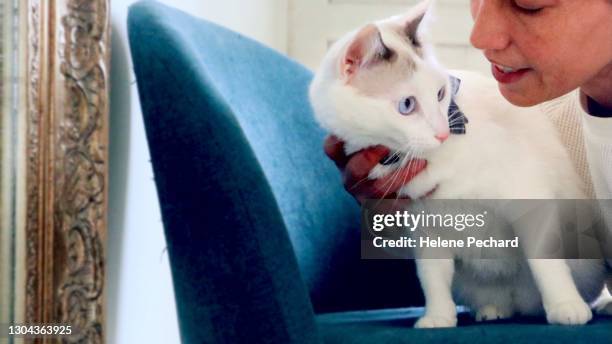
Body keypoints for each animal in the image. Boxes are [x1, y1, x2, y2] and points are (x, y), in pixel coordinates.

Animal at [310, 0, 612, 328]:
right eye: (407, 105)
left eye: (441, 94)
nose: (442, 132)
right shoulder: (425, 232)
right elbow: (433, 280)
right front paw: (438, 317)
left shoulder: (529, 202)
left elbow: (546, 265)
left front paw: (565, 305)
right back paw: (493, 309)